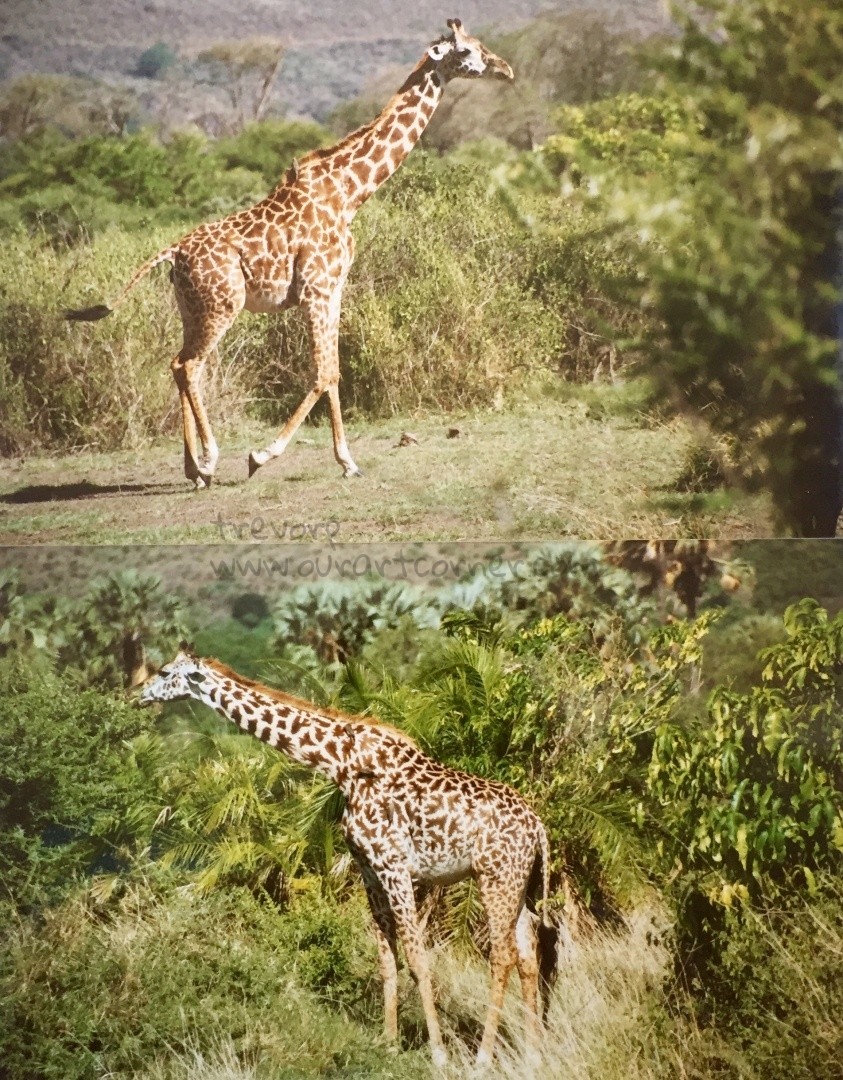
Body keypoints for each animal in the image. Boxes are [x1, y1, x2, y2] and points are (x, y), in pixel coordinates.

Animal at [66, 20, 515, 490]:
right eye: (467, 51)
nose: (506, 69)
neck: (350, 194)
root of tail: (173, 252)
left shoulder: (333, 290)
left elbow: (333, 371)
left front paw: (347, 461)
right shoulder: (316, 289)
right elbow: (322, 372)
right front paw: (261, 456)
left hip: (192, 309)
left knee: (180, 363)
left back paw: (194, 470)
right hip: (222, 306)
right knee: (189, 365)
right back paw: (209, 460)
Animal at [139, 645, 559, 1068]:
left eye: (165, 672)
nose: (138, 694)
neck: (340, 764)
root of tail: (539, 827)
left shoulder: (395, 867)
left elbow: (417, 959)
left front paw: (438, 1053)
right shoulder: (369, 869)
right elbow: (386, 959)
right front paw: (388, 1043)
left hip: (495, 876)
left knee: (503, 956)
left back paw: (484, 1058)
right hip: (518, 883)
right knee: (528, 955)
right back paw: (533, 1054)